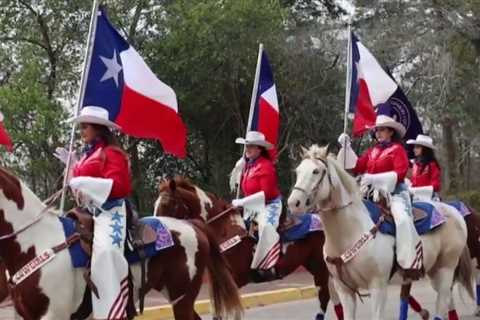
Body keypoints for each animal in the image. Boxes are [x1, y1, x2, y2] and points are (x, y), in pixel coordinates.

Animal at [156, 178, 344, 320]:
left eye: (167, 204)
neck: (224, 229)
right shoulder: (217, 281)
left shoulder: (234, 280)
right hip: (316, 265)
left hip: (320, 266)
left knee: (324, 296)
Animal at [286, 146, 474, 320]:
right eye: (298, 171)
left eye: (316, 171)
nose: (294, 203)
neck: (349, 233)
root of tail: (455, 212)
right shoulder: (344, 289)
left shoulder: (377, 286)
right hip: (433, 271)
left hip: (446, 267)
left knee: (442, 301)